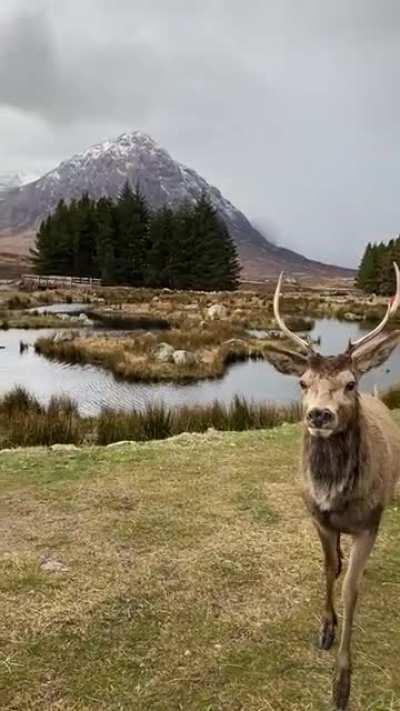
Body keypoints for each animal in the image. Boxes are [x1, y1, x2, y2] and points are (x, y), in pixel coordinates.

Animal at [267, 263, 400, 710]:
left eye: (349, 383)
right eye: (303, 382)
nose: (319, 415)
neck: (334, 494)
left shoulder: (370, 523)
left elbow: (350, 589)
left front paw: (342, 683)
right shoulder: (317, 518)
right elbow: (329, 569)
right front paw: (325, 629)